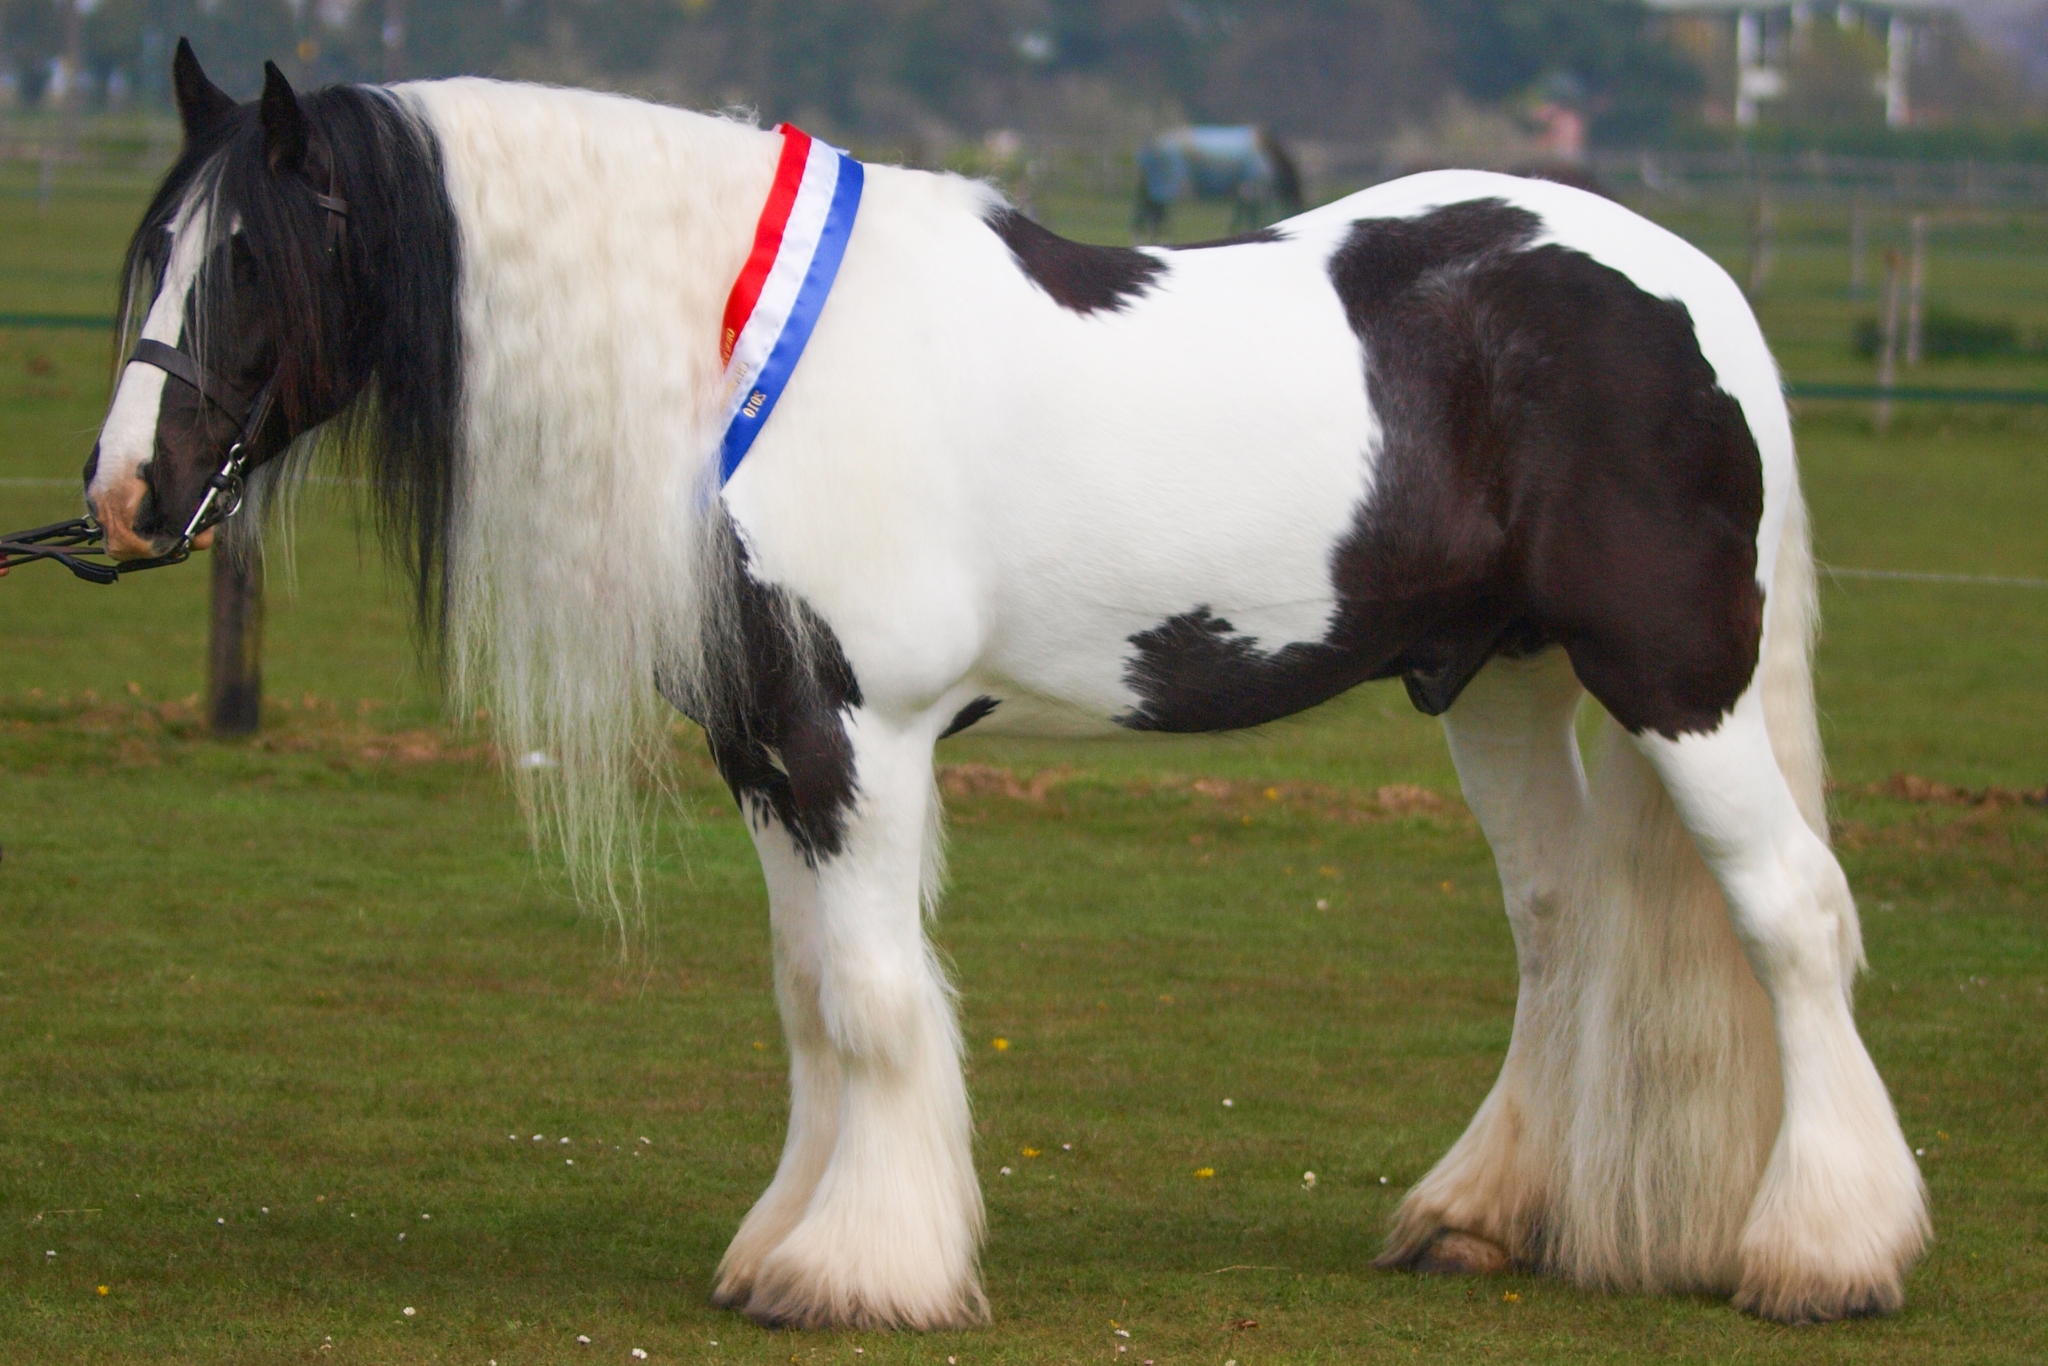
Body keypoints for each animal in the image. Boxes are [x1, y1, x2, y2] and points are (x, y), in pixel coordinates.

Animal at [1134, 125, 1303, 238]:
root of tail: (1147, 147)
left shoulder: (1242, 193)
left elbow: (1238, 219)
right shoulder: (1252, 190)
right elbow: (1251, 217)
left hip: (1149, 188)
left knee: (1146, 216)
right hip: (1161, 187)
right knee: (1154, 216)